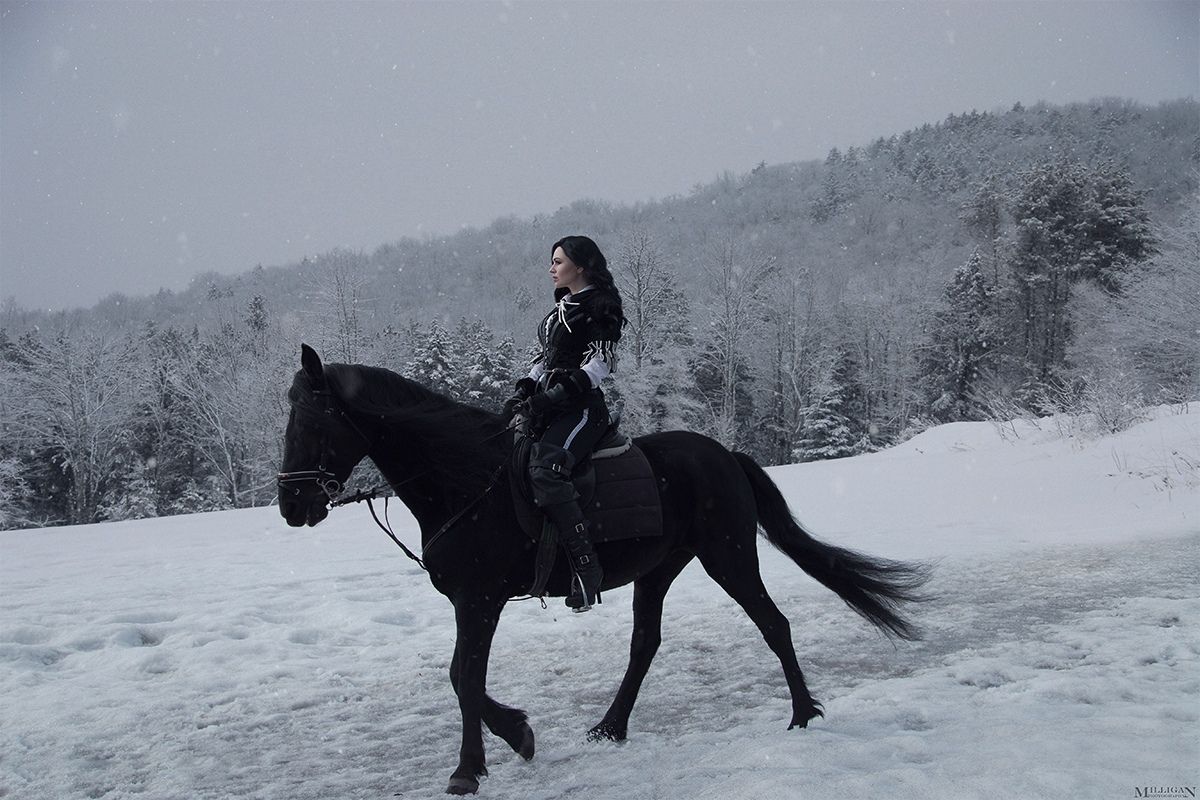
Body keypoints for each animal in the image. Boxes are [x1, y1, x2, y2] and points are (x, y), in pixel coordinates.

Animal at [278, 347, 926, 796]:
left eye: (312, 424)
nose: (290, 505)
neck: (465, 481)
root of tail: (723, 454)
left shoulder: (479, 600)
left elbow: (465, 678)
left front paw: (471, 767)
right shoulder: (473, 602)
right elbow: (464, 678)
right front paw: (517, 735)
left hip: (729, 557)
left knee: (774, 624)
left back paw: (802, 714)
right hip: (659, 570)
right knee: (646, 643)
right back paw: (611, 726)